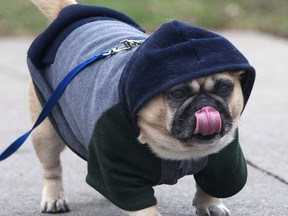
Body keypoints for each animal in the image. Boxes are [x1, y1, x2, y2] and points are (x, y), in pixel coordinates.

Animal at [28, 0, 255, 216]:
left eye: (225, 88)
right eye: (178, 93)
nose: (205, 104)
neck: (180, 149)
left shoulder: (222, 161)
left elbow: (212, 185)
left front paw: (210, 205)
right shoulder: (120, 171)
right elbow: (142, 206)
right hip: (46, 132)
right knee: (51, 168)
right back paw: (54, 198)